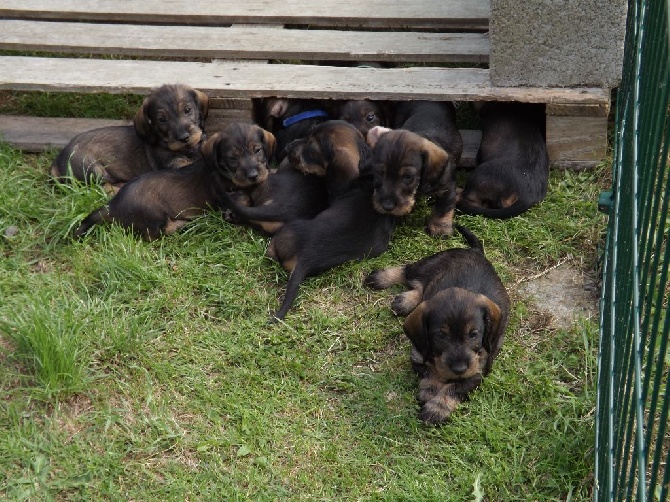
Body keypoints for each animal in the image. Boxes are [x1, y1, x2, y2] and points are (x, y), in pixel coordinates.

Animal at [72, 121, 274, 239]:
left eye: (257, 150)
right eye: (232, 158)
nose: (253, 175)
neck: (223, 173)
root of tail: (112, 206)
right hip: (153, 215)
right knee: (158, 233)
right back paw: (183, 224)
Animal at [364, 102, 464, 237]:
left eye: (408, 177)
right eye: (379, 173)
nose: (387, 206)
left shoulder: (447, 187)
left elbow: (444, 207)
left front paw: (440, 228)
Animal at [364, 224, 512, 424]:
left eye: (474, 334)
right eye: (440, 336)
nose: (459, 368)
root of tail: (475, 252)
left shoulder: (477, 371)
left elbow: (455, 388)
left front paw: (436, 408)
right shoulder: (418, 356)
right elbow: (431, 371)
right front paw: (430, 389)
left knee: (419, 285)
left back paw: (405, 300)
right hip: (430, 263)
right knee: (407, 270)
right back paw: (381, 278)